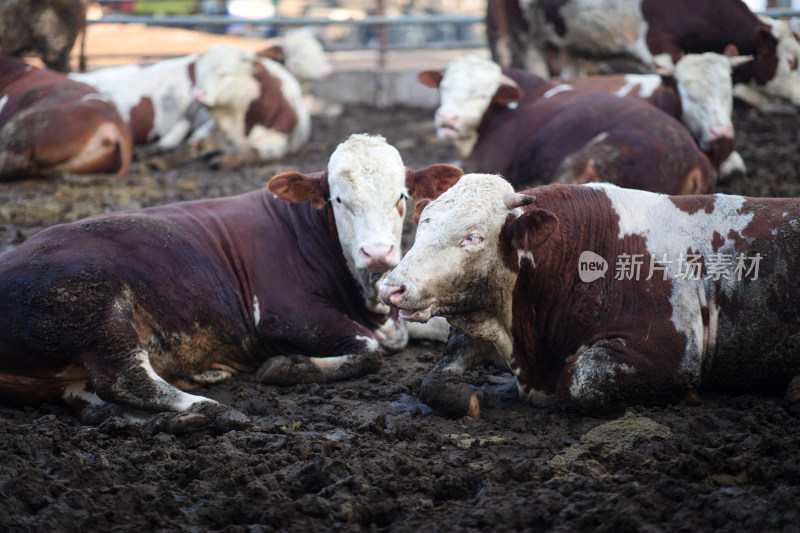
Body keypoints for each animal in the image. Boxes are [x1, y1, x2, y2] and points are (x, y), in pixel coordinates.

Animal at [0, 135, 462, 430]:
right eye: (338, 199)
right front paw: (286, 367)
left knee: (93, 396)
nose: (378, 253)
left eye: (401, 196)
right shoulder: (280, 317)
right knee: (124, 378)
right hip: (96, 307)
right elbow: (369, 350)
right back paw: (210, 410)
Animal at [378, 172, 800, 418]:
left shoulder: (672, 352)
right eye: (423, 223)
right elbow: (433, 379)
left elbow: (578, 380)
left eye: (472, 237)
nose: (391, 286)